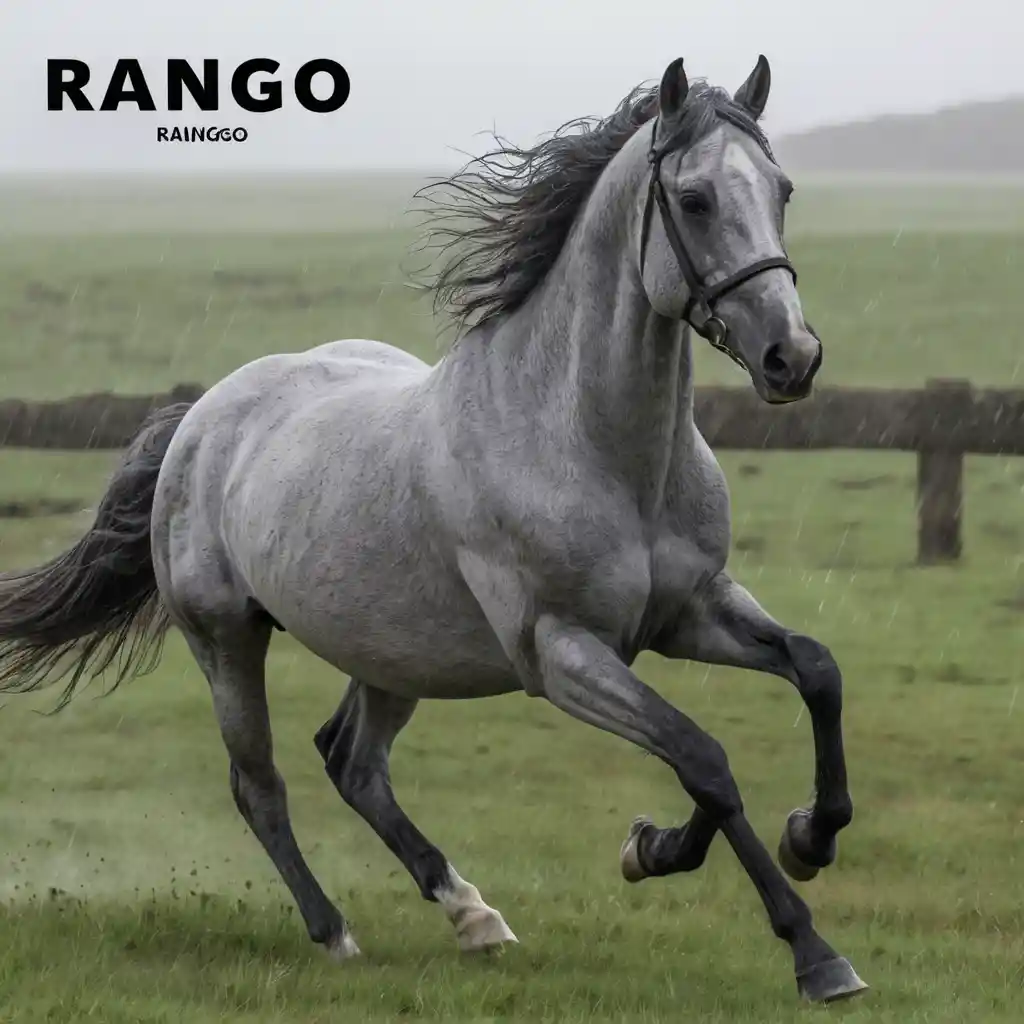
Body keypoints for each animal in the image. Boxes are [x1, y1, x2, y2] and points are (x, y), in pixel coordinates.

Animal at [0, 56, 867, 1004]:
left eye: (783, 189)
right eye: (697, 198)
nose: (792, 357)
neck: (591, 445)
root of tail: (199, 418)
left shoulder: (690, 612)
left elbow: (813, 673)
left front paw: (786, 837)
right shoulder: (561, 653)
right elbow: (702, 756)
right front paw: (811, 950)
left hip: (394, 654)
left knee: (352, 763)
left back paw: (473, 915)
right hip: (226, 640)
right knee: (260, 784)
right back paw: (336, 933)